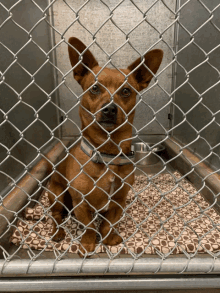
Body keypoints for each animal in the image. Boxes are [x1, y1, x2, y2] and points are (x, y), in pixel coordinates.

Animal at [48, 37, 163, 254]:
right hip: (57, 196)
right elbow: (89, 227)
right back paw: (58, 232)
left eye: (126, 91)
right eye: (95, 88)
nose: (110, 109)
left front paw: (110, 239)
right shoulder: (81, 204)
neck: (107, 153)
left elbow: (109, 223)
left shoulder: (118, 201)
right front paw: (88, 244)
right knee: (56, 217)